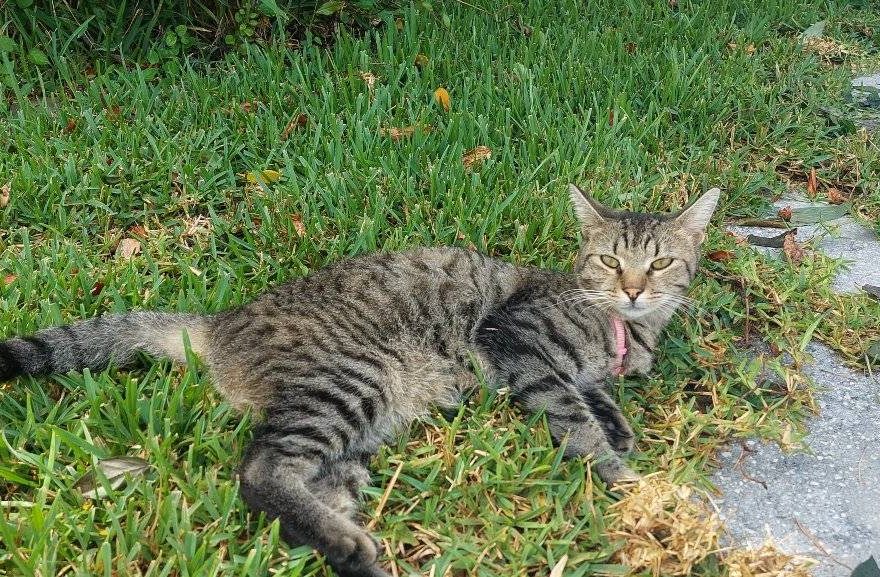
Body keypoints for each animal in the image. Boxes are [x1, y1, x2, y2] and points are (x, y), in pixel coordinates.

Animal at [0, 184, 720, 576]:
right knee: (258, 472)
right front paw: (626, 482)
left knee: (300, 490)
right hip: (348, 385)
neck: (622, 327)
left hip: (357, 435)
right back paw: (349, 544)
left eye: (660, 263)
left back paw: (351, 547)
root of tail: (219, 321)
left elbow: (594, 392)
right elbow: (572, 413)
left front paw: (618, 423)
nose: (633, 289)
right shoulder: (514, 341)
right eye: (610, 261)